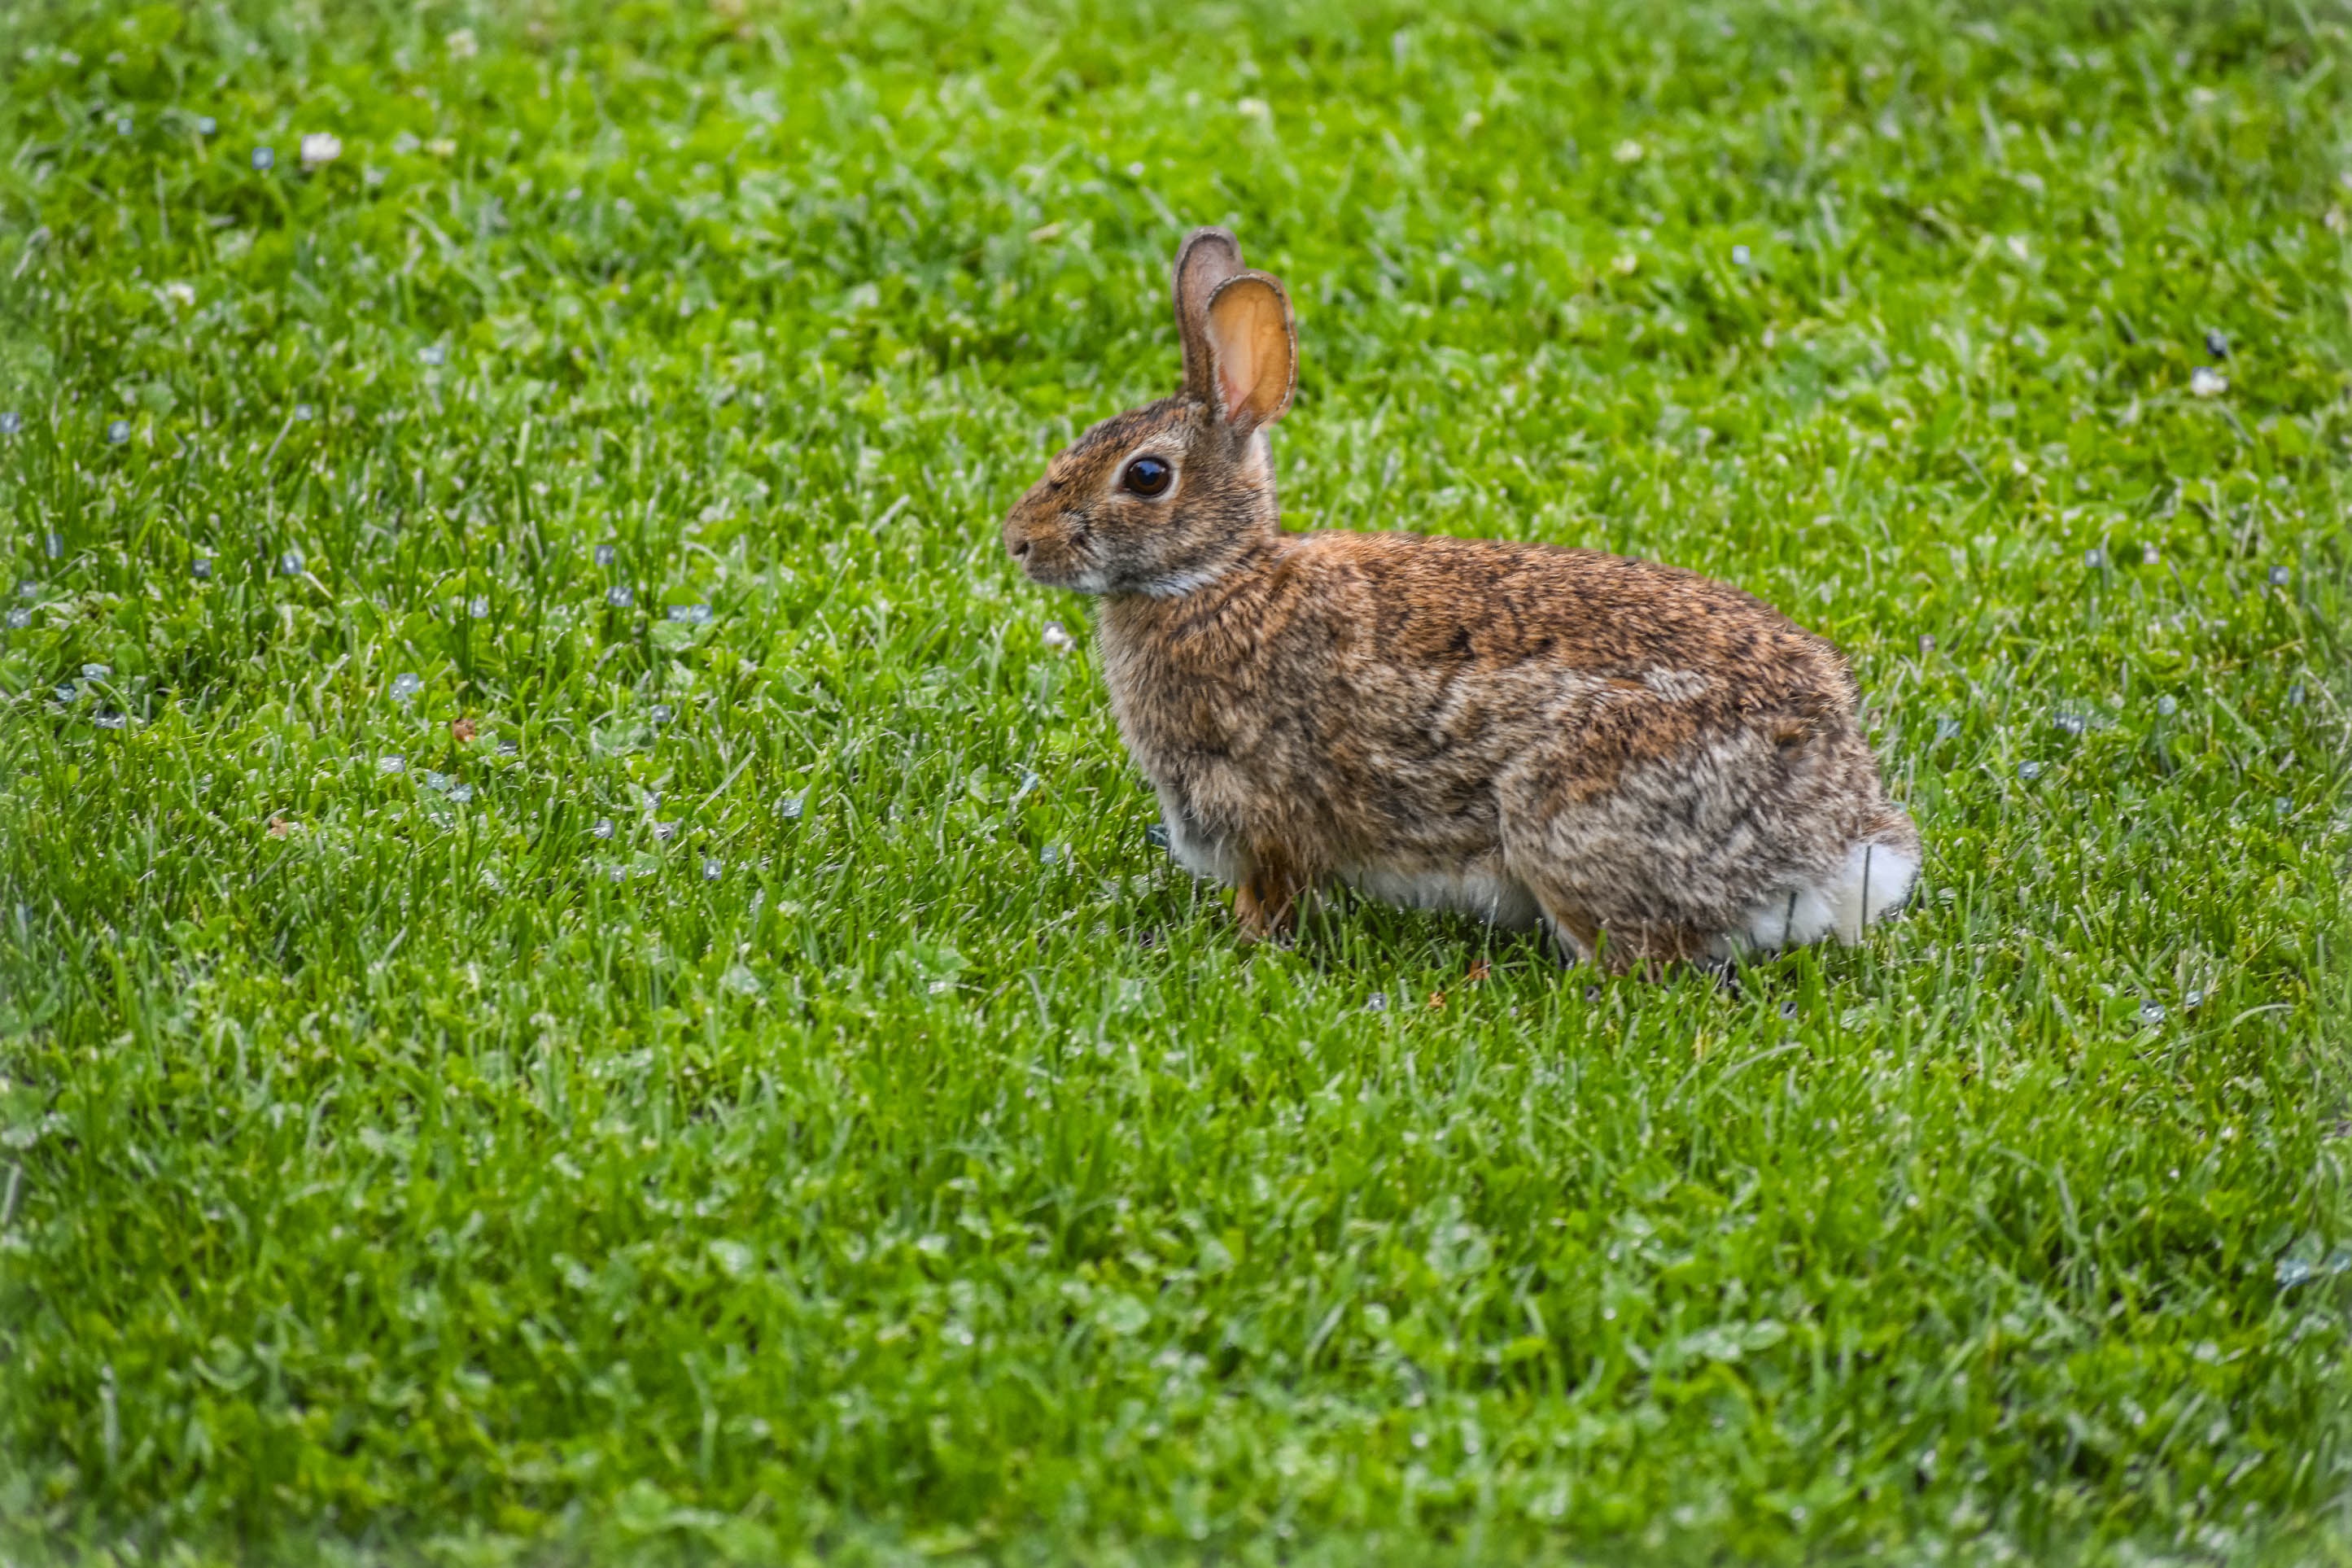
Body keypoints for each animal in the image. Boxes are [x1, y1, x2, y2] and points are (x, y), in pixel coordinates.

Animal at [992, 226, 1909, 973]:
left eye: (1146, 476)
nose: (1017, 540)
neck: (1220, 576)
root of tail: (1838, 841)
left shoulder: (1263, 813)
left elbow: (1272, 897)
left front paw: (1243, 945)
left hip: (1568, 819)